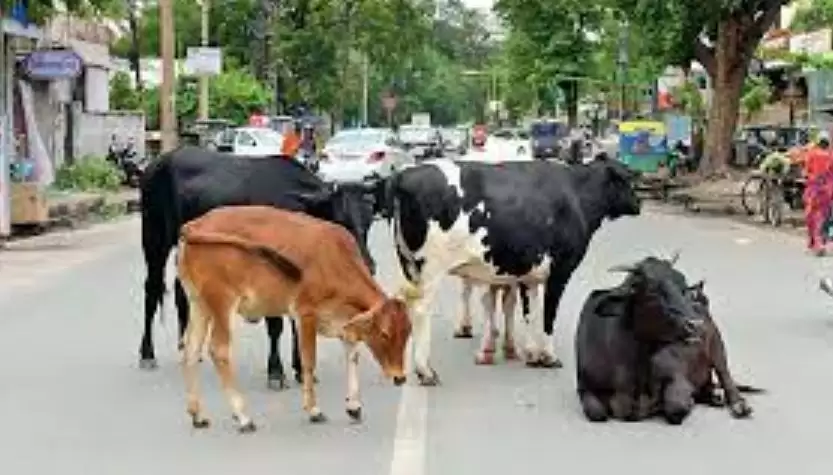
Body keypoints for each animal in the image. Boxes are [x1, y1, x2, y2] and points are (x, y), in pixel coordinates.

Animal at [139, 146, 376, 390]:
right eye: (341, 220)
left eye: (369, 221)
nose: (368, 264)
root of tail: (161, 159)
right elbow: (276, 325)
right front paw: (276, 372)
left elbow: (296, 320)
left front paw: (300, 369)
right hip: (154, 237)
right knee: (152, 288)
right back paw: (147, 354)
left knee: (181, 291)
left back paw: (187, 345)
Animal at [177, 206, 412, 434]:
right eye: (384, 333)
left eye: (408, 334)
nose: (400, 378)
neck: (335, 260)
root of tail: (195, 224)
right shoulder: (306, 314)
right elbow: (308, 361)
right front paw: (314, 410)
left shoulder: (344, 322)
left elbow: (353, 356)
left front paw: (354, 407)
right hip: (222, 302)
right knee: (219, 350)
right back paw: (243, 417)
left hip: (199, 303)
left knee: (191, 351)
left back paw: (197, 414)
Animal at [386, 156, 640, 386]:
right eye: (628, 179)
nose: (638, 204)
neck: (577, 195)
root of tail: (405, 174)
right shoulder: (560, 271)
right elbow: (548, 314)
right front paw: (549, 356)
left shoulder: (529, 274)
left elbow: (530, 312)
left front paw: (531, 354)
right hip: (431, 268)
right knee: (421, 311)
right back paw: (426, 372)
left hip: (409, 265)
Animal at [572, 258, 704, 422]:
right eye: (652, 289)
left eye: (684, 287)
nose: (695, 324)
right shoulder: (584, 387)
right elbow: (597, 412)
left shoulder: (678, 376)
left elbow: (676, 406)